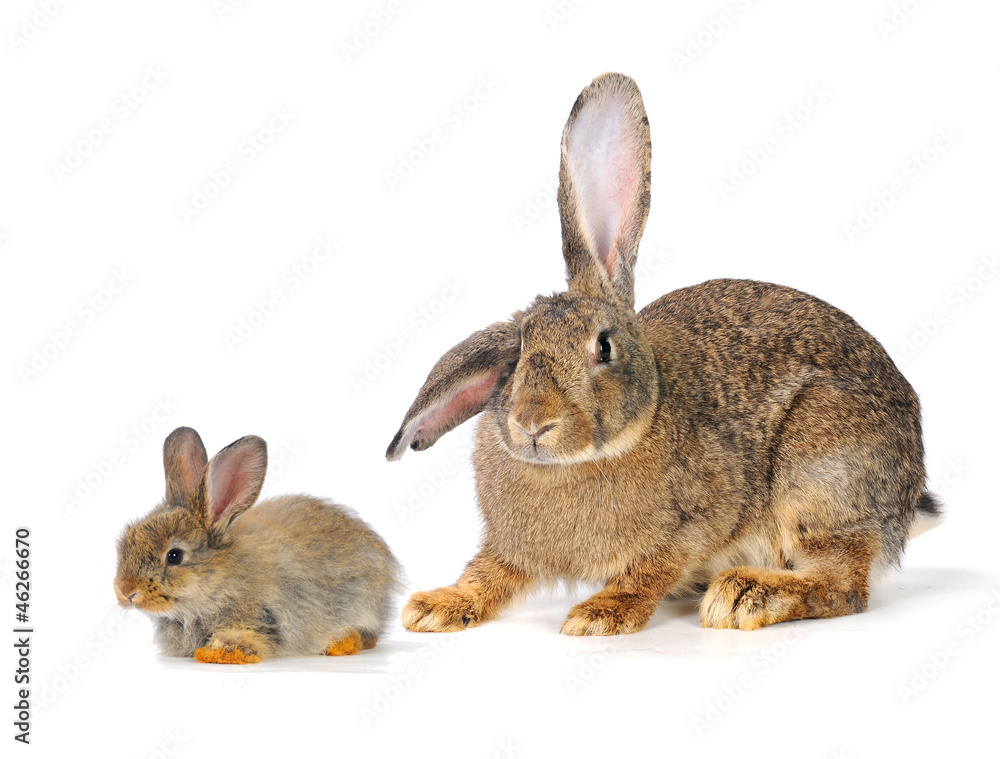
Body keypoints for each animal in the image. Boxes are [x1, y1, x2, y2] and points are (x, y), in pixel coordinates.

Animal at [115, 427, 402, 663]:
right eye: (125, 542)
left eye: (174, 556)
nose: (126, 592)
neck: (218, 582)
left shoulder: (265, 617)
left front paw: (218, 653)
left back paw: (339, 644)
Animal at [386, 72, 942, 635]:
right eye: (518, 352)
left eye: (603, 347)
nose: (533, 424)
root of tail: (907, 499)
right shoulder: (512, 549)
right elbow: (487, 573)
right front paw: (433, 607)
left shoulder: (695, 523)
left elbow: (649, 571)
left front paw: (599, 615)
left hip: (821, 467)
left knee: (842, 585)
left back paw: (743, 596)